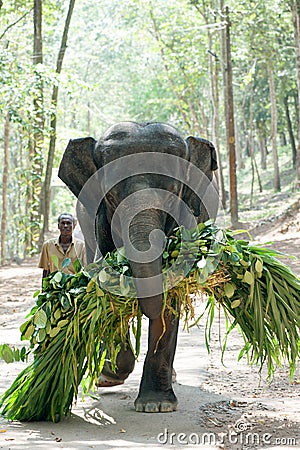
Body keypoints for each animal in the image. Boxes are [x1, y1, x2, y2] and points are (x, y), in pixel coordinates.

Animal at [58, 120, 218, 412]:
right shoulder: (99, 226)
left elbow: (171, 298)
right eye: (110, 198)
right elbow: (107, 292)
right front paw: (112, 373)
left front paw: (156, 405)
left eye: (172, 196)